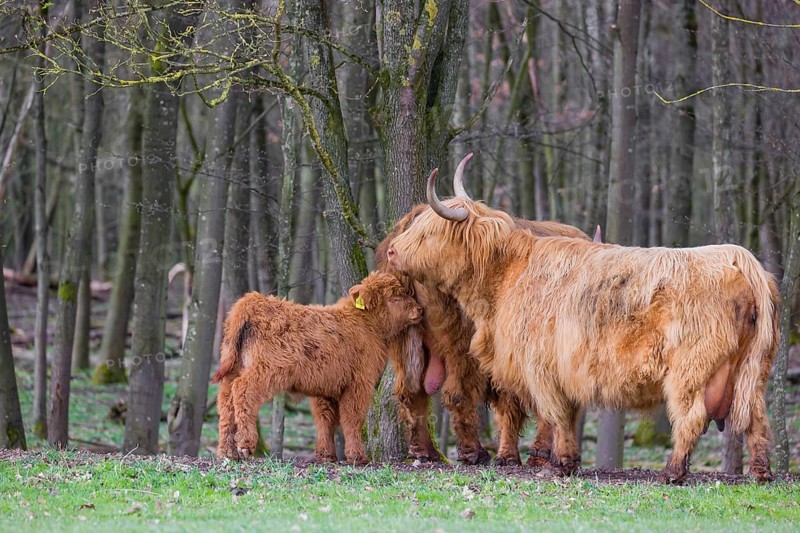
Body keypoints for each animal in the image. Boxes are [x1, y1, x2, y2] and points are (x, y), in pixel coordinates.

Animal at [213, 272, 423, 464]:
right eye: (394, 298)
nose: (419, 309)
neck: (366, 324)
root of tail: (252, 301)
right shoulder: (359, 383)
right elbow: (352, 418)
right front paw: (357, 457)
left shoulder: (325, 387)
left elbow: (325, 420)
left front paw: (327, 455)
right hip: (266, 370)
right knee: (243, 391)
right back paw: (245, 444)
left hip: (233, 368)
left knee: (225, 402)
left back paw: (227, 452)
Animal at [385, 155, 779, 483]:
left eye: (429, 231)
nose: (391, 251)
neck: (507, 275)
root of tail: (737, 257)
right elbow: (567, 416)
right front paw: (568, 461)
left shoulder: (541, 368)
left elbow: (556, 415)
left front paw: (557, 465)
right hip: (753, 369)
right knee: (757, 416)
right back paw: (761, 473)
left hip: (690, 370)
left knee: (692, 415)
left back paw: (672, 472)